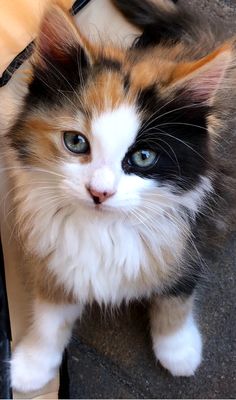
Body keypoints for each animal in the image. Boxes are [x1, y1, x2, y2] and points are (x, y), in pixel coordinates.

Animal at [4, 0, 236, 394]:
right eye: (75, 142)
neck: (102, 227)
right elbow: (50, 315)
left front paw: (179, 348)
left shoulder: (189, 238)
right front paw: (33, 364)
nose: (100, 192)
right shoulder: (50, 256)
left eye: (142, 157)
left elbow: (176, 294)